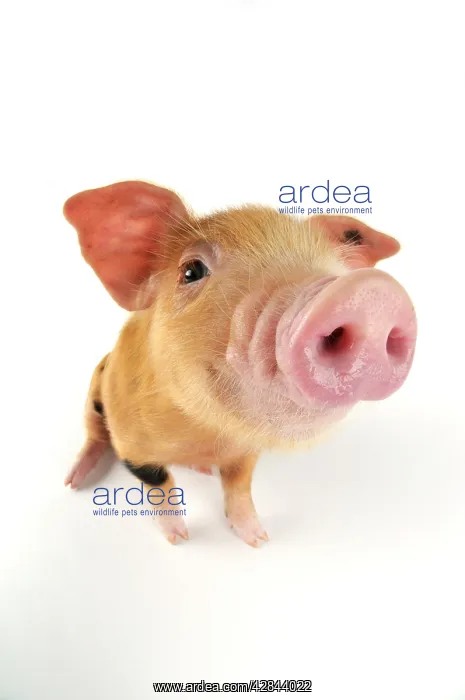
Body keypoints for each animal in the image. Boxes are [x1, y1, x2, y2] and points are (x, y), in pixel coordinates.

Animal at [63, 180, 417, 546]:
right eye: (191, 271)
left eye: (337, 266)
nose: (370, 294)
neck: (205, 434)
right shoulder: (130, 438)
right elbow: (159, 484)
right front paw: (180, 539)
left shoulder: (246, 452)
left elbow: (238, 486)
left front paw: (259, 539)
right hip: (96, 385)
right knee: (93, 432)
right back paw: (74, 481)